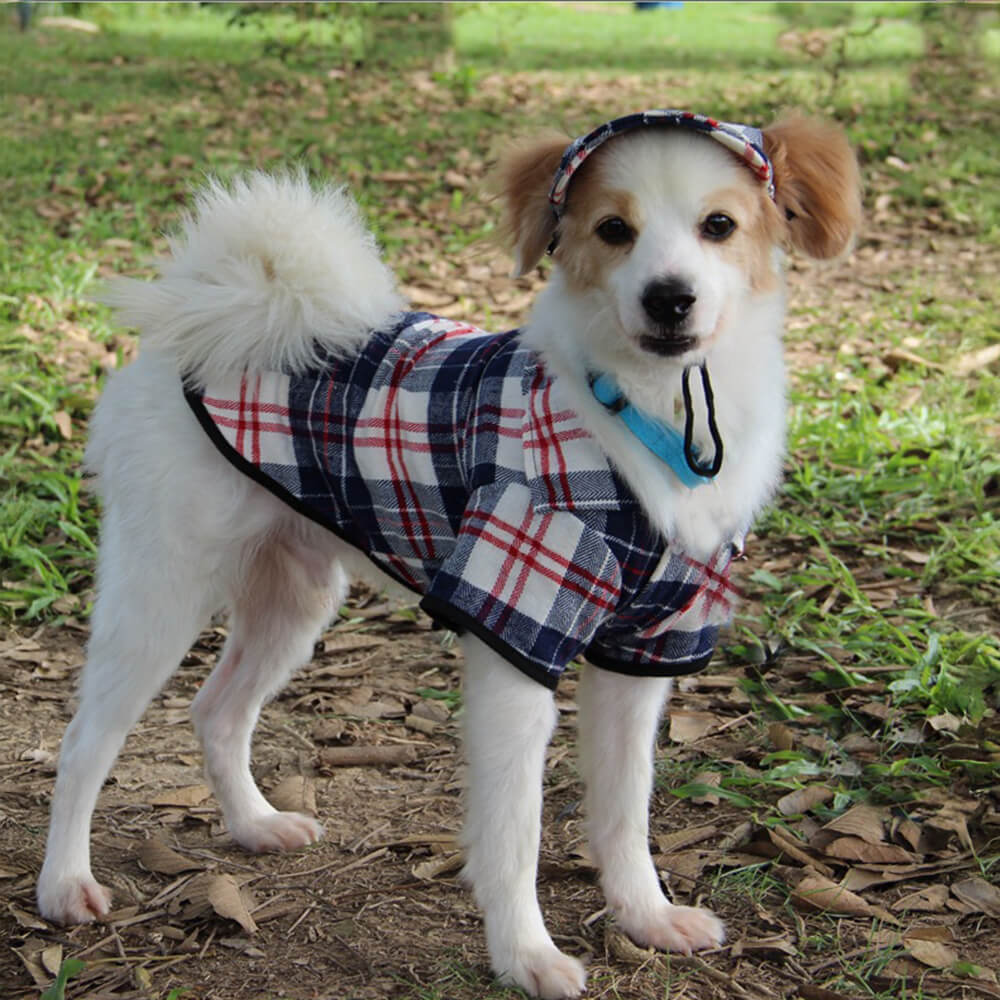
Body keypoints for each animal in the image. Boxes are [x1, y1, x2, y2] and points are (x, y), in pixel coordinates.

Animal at [39, 105, 860, 996]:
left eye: (720, 226)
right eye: (613, 230)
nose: (669, 298)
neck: (647, 414)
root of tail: (211, 312)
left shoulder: (642, 654)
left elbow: (624, 808)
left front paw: (644, 917)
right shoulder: (514, 635)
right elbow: (514, 832)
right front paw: (526, 956)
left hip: (293, 598)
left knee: (217, 710)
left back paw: (254, 824)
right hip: (161, 588)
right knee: (85, 743)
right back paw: (63, 884)